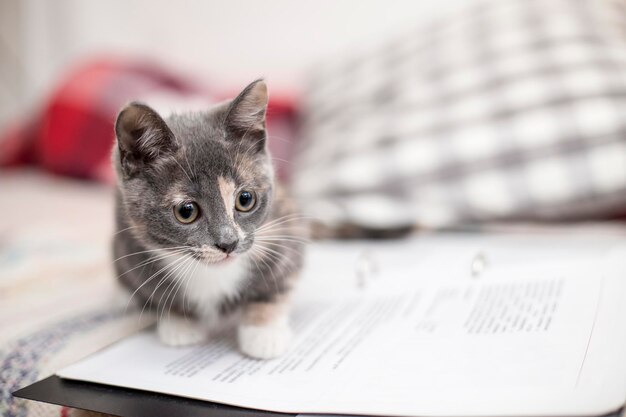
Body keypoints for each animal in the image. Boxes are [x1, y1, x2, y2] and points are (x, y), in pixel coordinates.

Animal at [114, 80, 308, 358]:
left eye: (245, 199)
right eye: (186, 211)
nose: (228, 243)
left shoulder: (285, 228)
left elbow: (276, 285)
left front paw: (263, 332)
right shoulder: (131, 247)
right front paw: (179, 321)